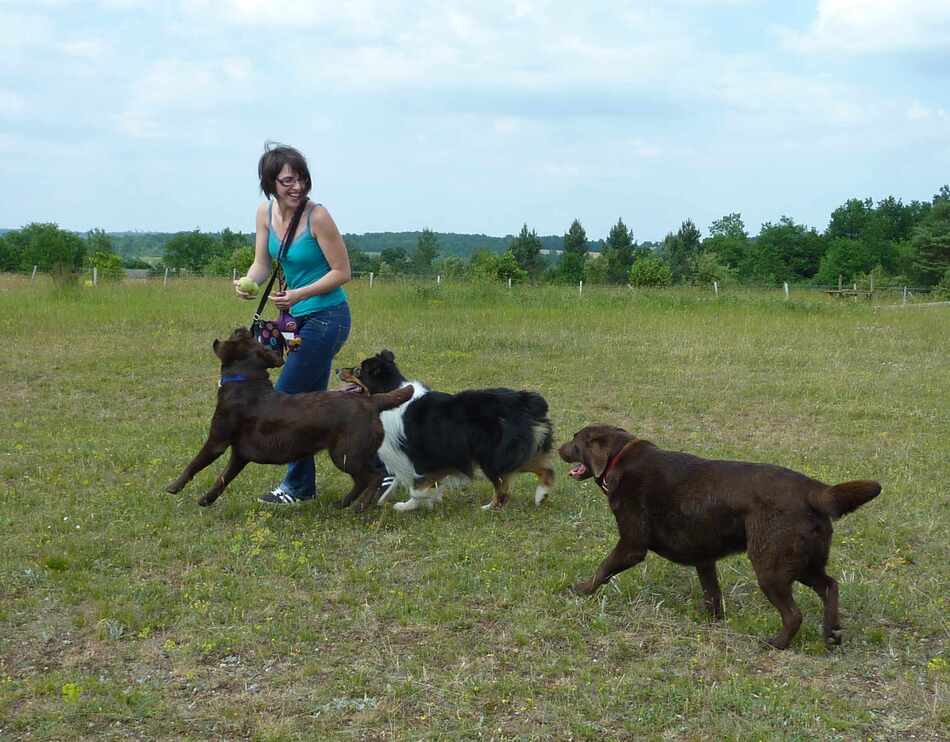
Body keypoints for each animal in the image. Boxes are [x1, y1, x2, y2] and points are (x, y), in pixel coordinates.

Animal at [167, 330, 412, 512]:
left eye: (237, 336)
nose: (243, 328)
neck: (245, 381)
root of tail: (372, 401)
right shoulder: (240, 454)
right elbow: (223, 478)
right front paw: (207, 499)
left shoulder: (217, 440)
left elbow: (195, 463)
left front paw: (173, 486)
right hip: (351, 454)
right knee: (364, 479)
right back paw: (342, 503)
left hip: (346, 454)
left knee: (373, 476)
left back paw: (359, 506)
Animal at [338, 352, 556, 516]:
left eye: (358, 371)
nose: (338, 369)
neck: (390, 393)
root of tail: (525, 401)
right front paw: (412, 504)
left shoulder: (428, 458)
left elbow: (417, 488)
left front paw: (424, 499)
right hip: (510, 453)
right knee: (545, 469)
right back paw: (541, 495)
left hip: (491, 456)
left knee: (503, 490)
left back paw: (489, 508)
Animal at [556, 428, 884, 648]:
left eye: (575, 440)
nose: (558, 447)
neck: (619, 459)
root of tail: (813, 489)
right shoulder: (704, 558)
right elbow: (712, 594)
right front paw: (712, 622)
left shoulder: (632, 545)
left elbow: (603, 568)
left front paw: (581, 590)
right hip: (803, 563)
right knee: (830, 586)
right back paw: (832, 633)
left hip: (771, 567)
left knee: (794, 614)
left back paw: (776, 643)